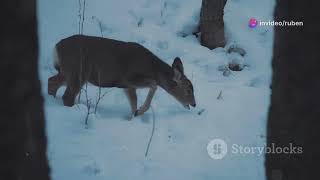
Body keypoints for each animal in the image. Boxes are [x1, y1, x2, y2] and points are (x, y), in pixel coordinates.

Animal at [48, 34, 196, 116]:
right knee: (67, 96)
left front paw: (135, 115)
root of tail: (56, 46)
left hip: (68, 71)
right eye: (188, 89)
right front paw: (140, 111)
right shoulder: (128, 78)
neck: (152, 68)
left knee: (52, 81)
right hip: (77, 71)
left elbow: (133, 103)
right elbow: (154, 85)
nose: (194, 104)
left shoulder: (127, 86)